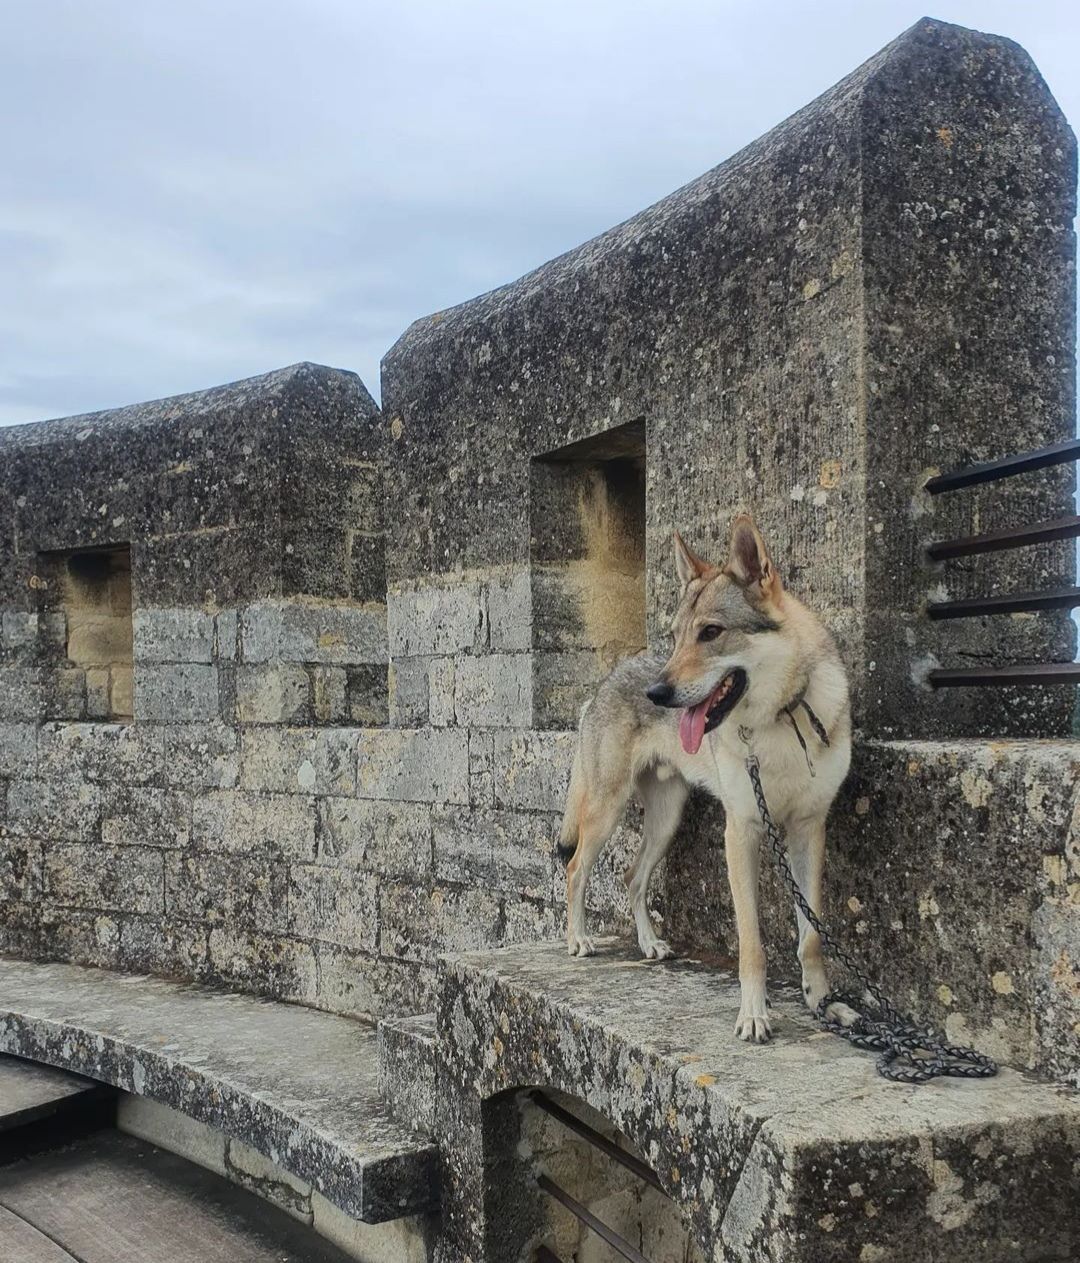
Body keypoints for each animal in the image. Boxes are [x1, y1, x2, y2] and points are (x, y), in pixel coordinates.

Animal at [558, 512, 853, 1045]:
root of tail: (605, 681)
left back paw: (650, 944)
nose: (656, 694)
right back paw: (579, 939)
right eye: (676, 636)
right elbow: (752, 943)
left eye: (711, 632)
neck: (778, 720)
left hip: (666, 820)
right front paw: (754, 1014)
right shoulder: (741, 832)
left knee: (633, 877)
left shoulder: (808, 831)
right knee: (575, 870)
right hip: (606, 814)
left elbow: (811, 936)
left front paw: (823, 1003)